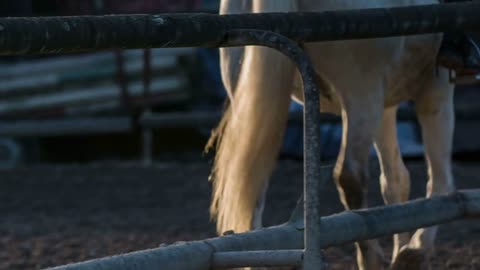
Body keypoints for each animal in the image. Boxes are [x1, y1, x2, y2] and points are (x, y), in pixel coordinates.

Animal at [208, 1, 456, 268]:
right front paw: (415, 250)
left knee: (254, 191)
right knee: (351, 175)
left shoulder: (386, 105)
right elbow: (440, 180)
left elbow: (395, 181)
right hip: (362, 96)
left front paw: (403, 248)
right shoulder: (436, 90)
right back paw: (372, 257)